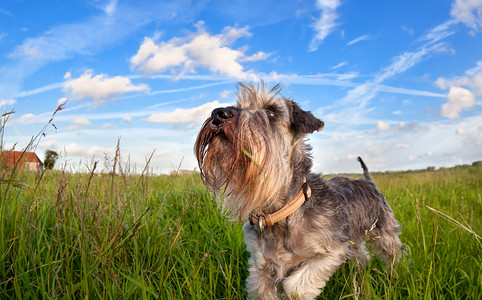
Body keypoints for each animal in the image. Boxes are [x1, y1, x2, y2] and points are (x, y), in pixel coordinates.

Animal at [194, 82, 402, 300]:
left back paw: (395, 276)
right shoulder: (261, 269)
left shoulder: (332, 251)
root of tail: (369, 182)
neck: (281, 212)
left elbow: (295, 286)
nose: (218, 113)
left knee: (394, 255)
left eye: (271, 112)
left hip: (386, 235)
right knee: (362, 256)